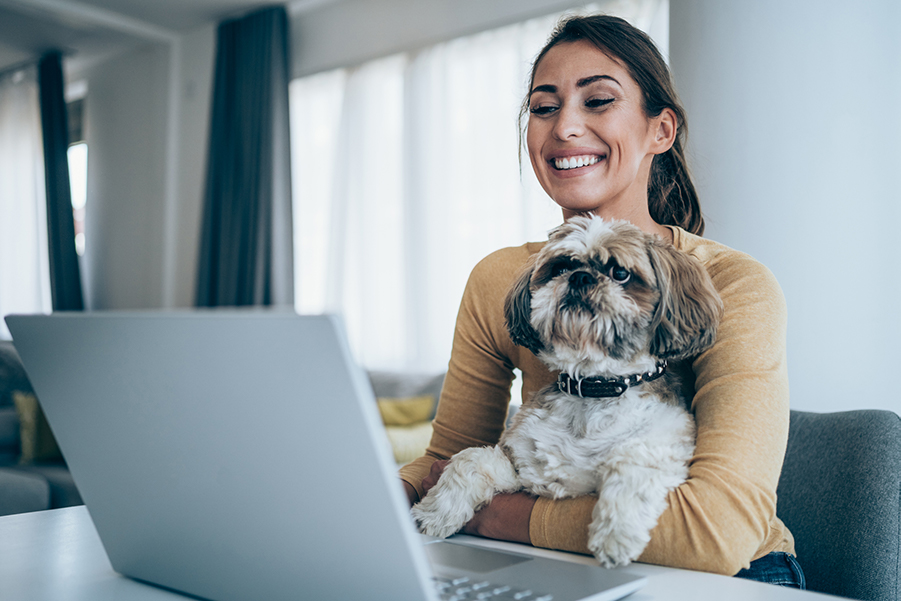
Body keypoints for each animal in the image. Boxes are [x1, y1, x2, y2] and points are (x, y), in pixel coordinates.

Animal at [414, 217, 724, 568]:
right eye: (561, 267)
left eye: (620, 273)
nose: (580, 276)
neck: (593, 389)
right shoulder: (523, 468)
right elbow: (470, 460)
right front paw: (435, 513)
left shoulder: (664, 444)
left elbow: (631, 464)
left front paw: (615, 536)